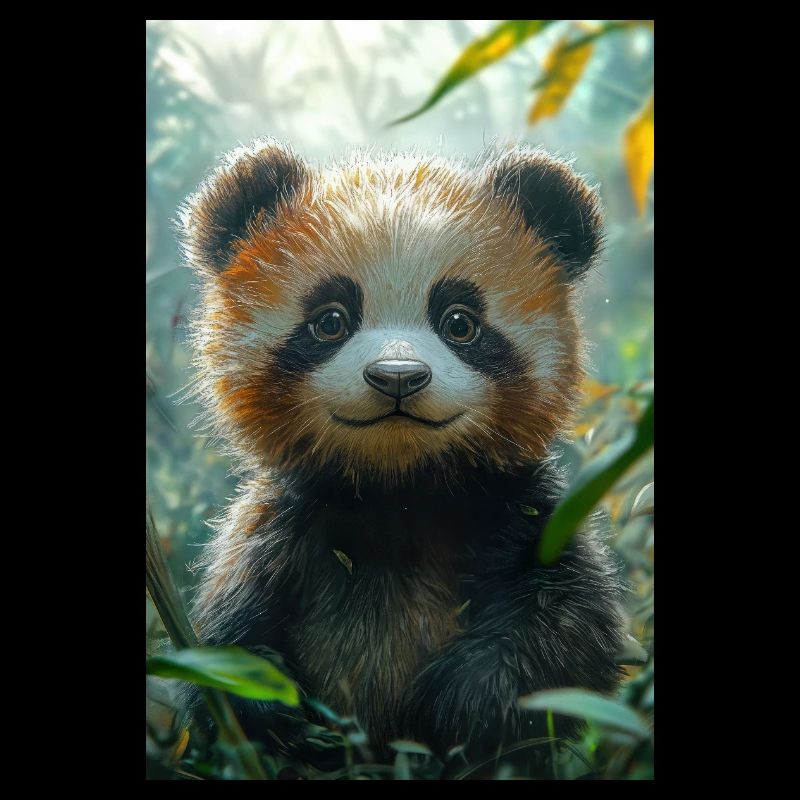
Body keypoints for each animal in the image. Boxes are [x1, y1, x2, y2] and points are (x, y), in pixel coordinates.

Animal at [177, 138, 627, 761]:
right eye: (330, 321)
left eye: (460, 322)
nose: (397, 376)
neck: (400, 486)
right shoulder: (280, 528)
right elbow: (226, 642)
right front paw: (279, 709)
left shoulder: (520, 510)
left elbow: (574, 633)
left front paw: (459, 702)